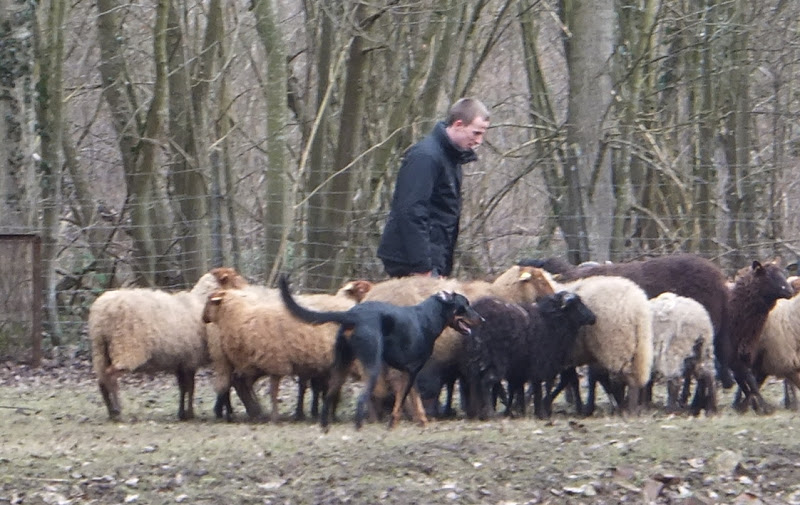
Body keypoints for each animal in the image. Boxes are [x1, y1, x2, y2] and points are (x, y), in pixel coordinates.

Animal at [88, 266, 247, 420]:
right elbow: (191, 387)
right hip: (126, 347)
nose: (246, 290)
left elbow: (183, 388)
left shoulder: (182, 361)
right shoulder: (190, 359)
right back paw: (117, 410)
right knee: (111, 376)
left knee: (102, 380)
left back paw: (110, 411)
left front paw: (182, 413)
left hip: (100, 350)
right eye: (235, 278)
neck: (199, 302)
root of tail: (103, 310)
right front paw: (190, 413)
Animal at [282, 274, 482, 432]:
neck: (426, 316)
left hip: (342, 365)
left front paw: (420, 420)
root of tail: (352, 315)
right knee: (363, 397)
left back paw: (325, 426)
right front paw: (398, 423)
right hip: (372, 366)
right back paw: (360, 426)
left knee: (330, 395)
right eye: (465, 305)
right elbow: (403, 400)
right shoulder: (410, 371)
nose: (482, 319)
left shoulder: (407, 371)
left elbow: (412, 397)